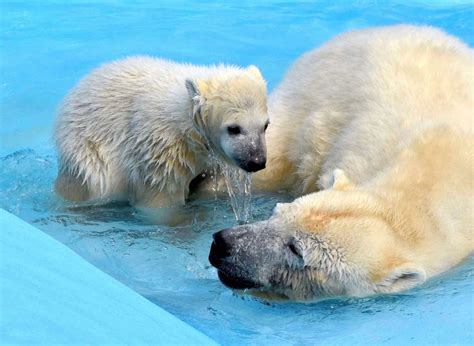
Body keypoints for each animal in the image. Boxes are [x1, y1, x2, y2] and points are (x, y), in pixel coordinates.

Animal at [54, 58, 268, 208]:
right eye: (234, 128)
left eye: (265, 125)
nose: (256, 161)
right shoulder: (161, 149)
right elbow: (160, 198)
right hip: (89, 154)